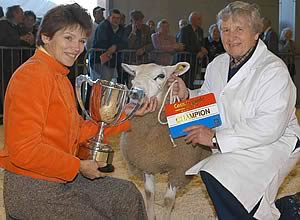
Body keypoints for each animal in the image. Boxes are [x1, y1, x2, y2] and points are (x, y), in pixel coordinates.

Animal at [119, 61, 211, 220]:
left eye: (161, 76)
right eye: (134, 74)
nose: (135, 93)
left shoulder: (179, 169)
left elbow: (168, 201)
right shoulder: (147, 163)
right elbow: (149, 194)